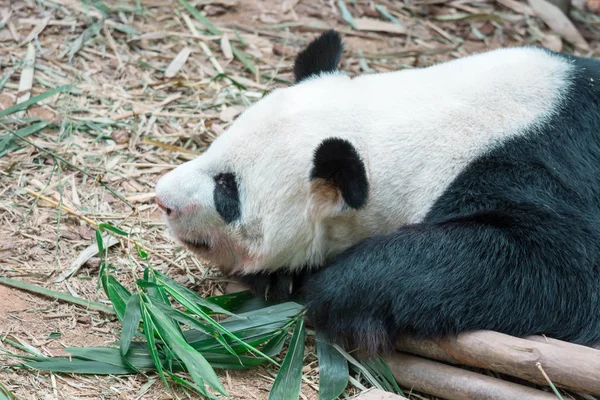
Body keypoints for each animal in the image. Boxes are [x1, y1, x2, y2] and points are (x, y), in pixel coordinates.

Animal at [154, 30, 600, 354]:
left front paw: (338, 291)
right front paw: (282, 279)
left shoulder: (543, 167)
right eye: (213, 147)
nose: (163, 200)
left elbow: (559, 272)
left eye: (227, 188)